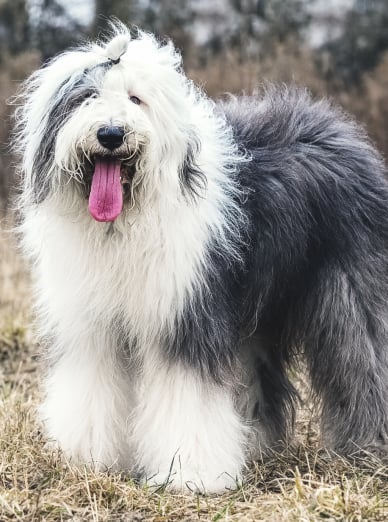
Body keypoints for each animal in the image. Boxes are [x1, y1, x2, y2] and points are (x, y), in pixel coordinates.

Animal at [14, 21, 388, 492]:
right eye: (87, 97)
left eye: (136, 99)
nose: (111, 134)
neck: (124, 222)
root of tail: (341, 128)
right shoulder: (93, 324)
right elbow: (91, 387)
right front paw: (87, 459)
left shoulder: (186, 314)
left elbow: (186, 396)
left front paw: (187, 474)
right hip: (255, 309)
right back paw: (255, 444)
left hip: (349, 290)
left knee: (363, 357)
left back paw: (367, 449)